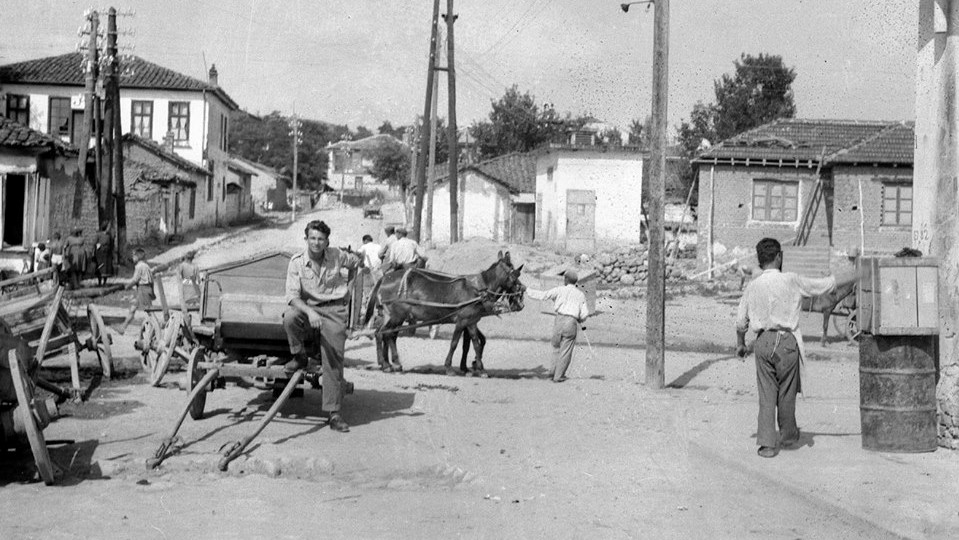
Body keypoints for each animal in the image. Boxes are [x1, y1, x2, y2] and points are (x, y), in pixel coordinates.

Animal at [364, 252, 524, 376]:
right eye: (515, 274)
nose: (522, 291)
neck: (478, 289)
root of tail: (385, 278)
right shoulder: (462, 321)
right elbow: (455, 343)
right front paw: (450, 367)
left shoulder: (471, 321)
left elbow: (476, 344)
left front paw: (478, 368)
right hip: (397, 316)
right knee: (386, 334)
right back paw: (391, 364)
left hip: (393, 316)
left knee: (384, 334)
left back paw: (388, 364)